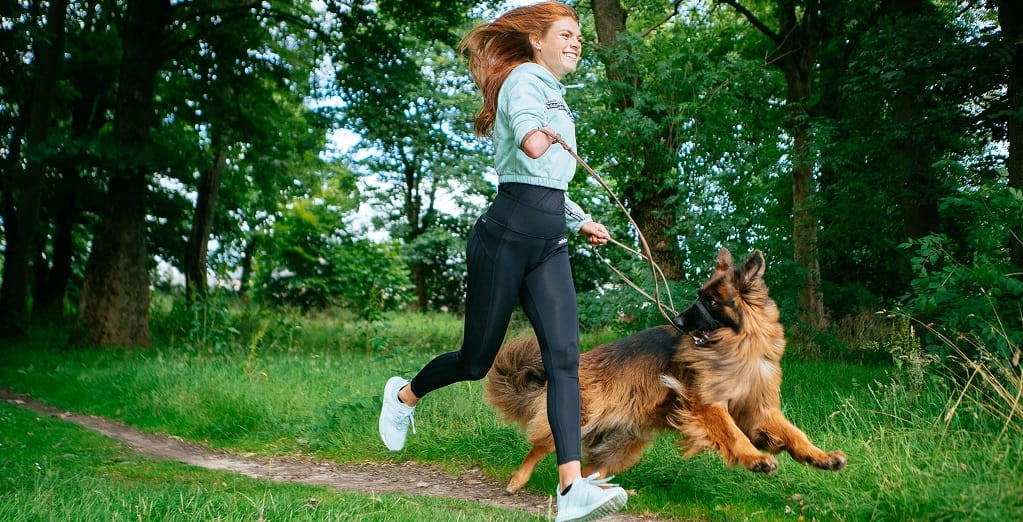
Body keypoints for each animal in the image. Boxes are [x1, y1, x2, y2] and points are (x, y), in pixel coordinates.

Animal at [486, 246, 847, 491]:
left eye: (711, 300)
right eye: (699, 295)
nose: (677, 321)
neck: (739, 346)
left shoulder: (759, 409)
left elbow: (794, 433)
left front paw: (819, 456)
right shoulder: (707, 404)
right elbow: (733, 433)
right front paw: (755, 458)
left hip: (623, 449)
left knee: (588, 470)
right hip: (580, 419)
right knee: (543, 446)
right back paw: (519, 479)